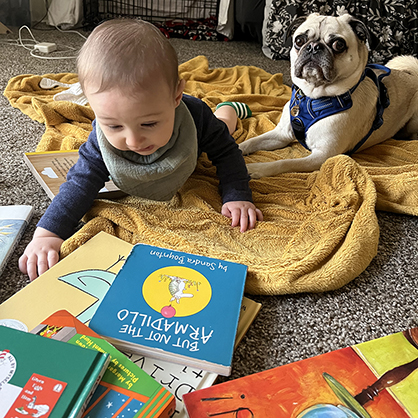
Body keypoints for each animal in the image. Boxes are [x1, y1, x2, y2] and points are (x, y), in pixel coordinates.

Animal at [240, 12, 418, 176]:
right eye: (299, 41)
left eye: (338, 44)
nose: (313, 47)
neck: (312, 98)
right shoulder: (280, 134)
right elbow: (251, 141)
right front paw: (238, 148)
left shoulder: (322, 156)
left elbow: (285, 163)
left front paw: (256, 169)